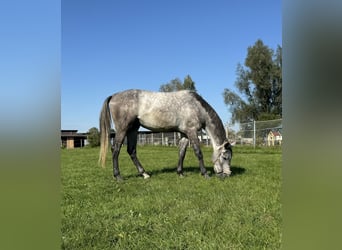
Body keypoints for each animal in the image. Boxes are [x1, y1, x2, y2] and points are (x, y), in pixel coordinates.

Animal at [99, 89, 232, 181]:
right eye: (225, 157)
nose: (227, 174)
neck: (196, 106)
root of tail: (113, 96)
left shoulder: (184, 133)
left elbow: (182, 153)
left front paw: (180, 173)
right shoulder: (192, 131)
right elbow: (198, 152)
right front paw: (205, 174)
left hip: (133, 129)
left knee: (131, 151)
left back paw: (145, 174)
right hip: (123, 129)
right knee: (115, 149)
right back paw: (118, 176)